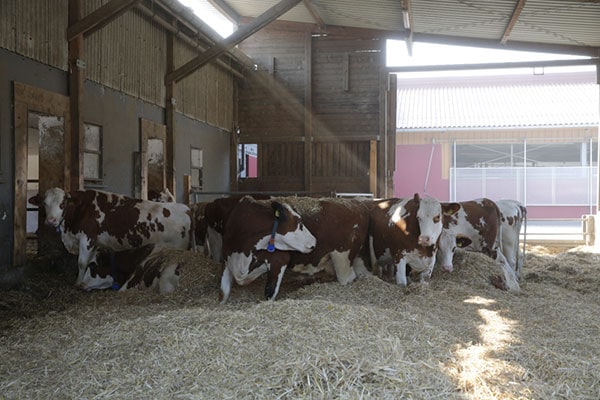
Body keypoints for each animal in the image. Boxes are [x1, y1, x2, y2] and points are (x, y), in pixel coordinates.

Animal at [29, 189, 193, 290]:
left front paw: (78, 282)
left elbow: (82, 263)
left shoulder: (87, 238)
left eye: (62, 204)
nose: (51, 220)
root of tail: (186, 209)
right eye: (44, 203)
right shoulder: (94, 243)